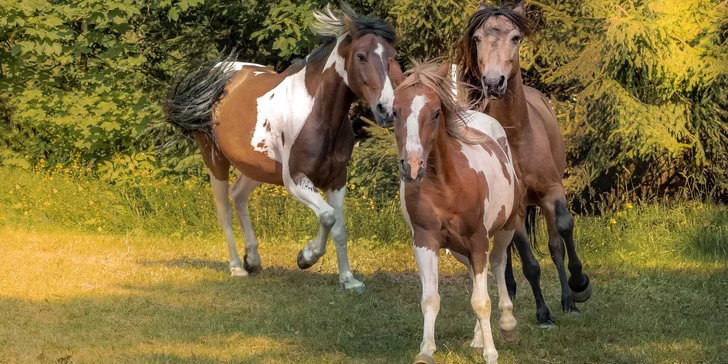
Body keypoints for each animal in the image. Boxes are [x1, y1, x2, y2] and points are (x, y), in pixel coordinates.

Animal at [164, 3, 396, 292]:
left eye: (393, 56)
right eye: (362, 56)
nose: (386, 111)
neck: (317, 113)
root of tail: (217, 73)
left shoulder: (337, 179)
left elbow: (340, 228)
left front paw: (348, 280)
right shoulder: (295, 180)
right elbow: (328, 217)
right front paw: (306, 257)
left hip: (255, 167)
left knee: (238, 195)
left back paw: (252, 259)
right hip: (215, 160)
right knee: (224, 210)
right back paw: (237, 267)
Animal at [392, 59, 516, 364]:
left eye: (436, 112)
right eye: (394, 111)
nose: (412, 166)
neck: (448, 185)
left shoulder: (479, 240)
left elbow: (482, 301)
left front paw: (491, 354)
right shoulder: (425, 241)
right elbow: (431, 299)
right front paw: (426, 351)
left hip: (506, 228)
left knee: (498, 264)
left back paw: (507, 325)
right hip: (459, 249)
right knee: (475, 276)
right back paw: (478, 338)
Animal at [458, 2, 596, 328]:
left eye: (516, 37)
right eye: (478, 38)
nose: (493, 82)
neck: (519, 138)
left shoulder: (552, 191)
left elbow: (563, 231)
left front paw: (579, 286)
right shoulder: (518, 208)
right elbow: (530, 262)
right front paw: (543, 314)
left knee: (555, 244)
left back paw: (569, 299)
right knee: (505, 249)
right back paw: (510, 288)